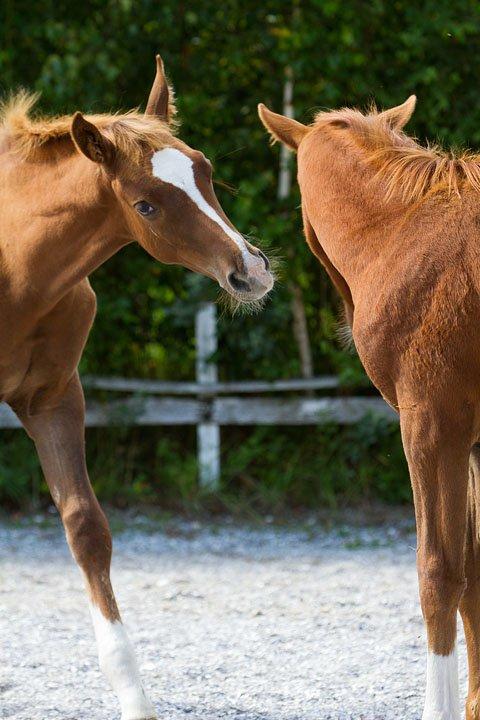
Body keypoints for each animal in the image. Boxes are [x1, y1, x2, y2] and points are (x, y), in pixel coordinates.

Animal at [0, 57, 274, 720]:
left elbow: (87, 531)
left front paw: (134, 698)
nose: (250, 271)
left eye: (205, 169)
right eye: (145, 205)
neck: (17, 270)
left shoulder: (53, 400)